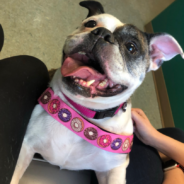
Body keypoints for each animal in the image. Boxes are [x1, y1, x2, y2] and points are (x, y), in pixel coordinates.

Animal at [10, 1, 184, 184]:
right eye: (91, 24)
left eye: (131, 47)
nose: (102, 33)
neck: (82, 113)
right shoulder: (25, 147)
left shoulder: (113, 169)